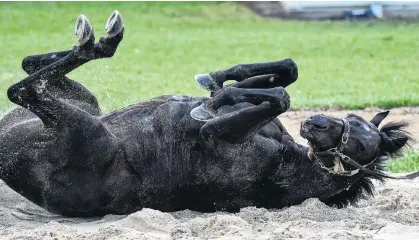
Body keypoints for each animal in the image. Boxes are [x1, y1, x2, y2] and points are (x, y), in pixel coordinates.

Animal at [0, 11, 416, 218]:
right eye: (355, 124)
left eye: (359, 145)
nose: (315, 124)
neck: (295, 162)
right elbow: (284, 75)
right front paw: (216, 82)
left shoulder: (216, 135)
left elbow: (276, 96)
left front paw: (208, 101)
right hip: (85, 105)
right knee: (29, 66)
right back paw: (101, 37)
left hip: (82, 126)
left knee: (23, 88)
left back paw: (98, 40)